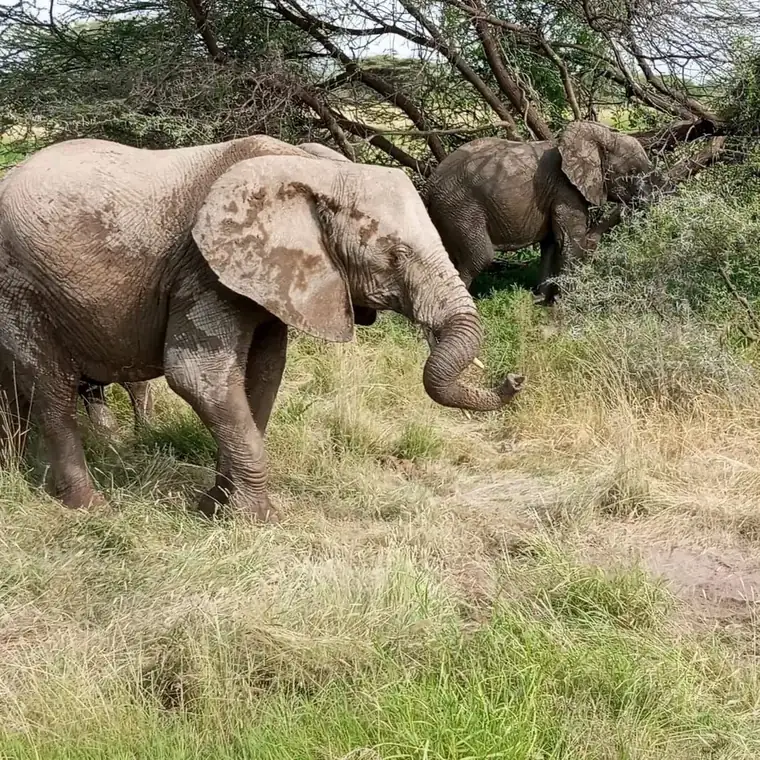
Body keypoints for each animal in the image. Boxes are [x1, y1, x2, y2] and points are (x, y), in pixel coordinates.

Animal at [0, 134, 523, 520]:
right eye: (395, 255)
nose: (514, 378)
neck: (313, 171)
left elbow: (264, 375)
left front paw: (215, 508)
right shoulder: (202, 267)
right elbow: (197, 374)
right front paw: (258, 519)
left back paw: (15, 476)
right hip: (19, 283)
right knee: (49, 385)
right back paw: (89, 508)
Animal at [425, 121, 660, 303]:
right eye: (631, 173)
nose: (633, 204)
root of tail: (428, 186)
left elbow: (550, 244)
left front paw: (539, 299)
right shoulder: (565, 189)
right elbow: (568, 241)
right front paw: (565, 304)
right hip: (460, 207)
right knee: (480, 257)